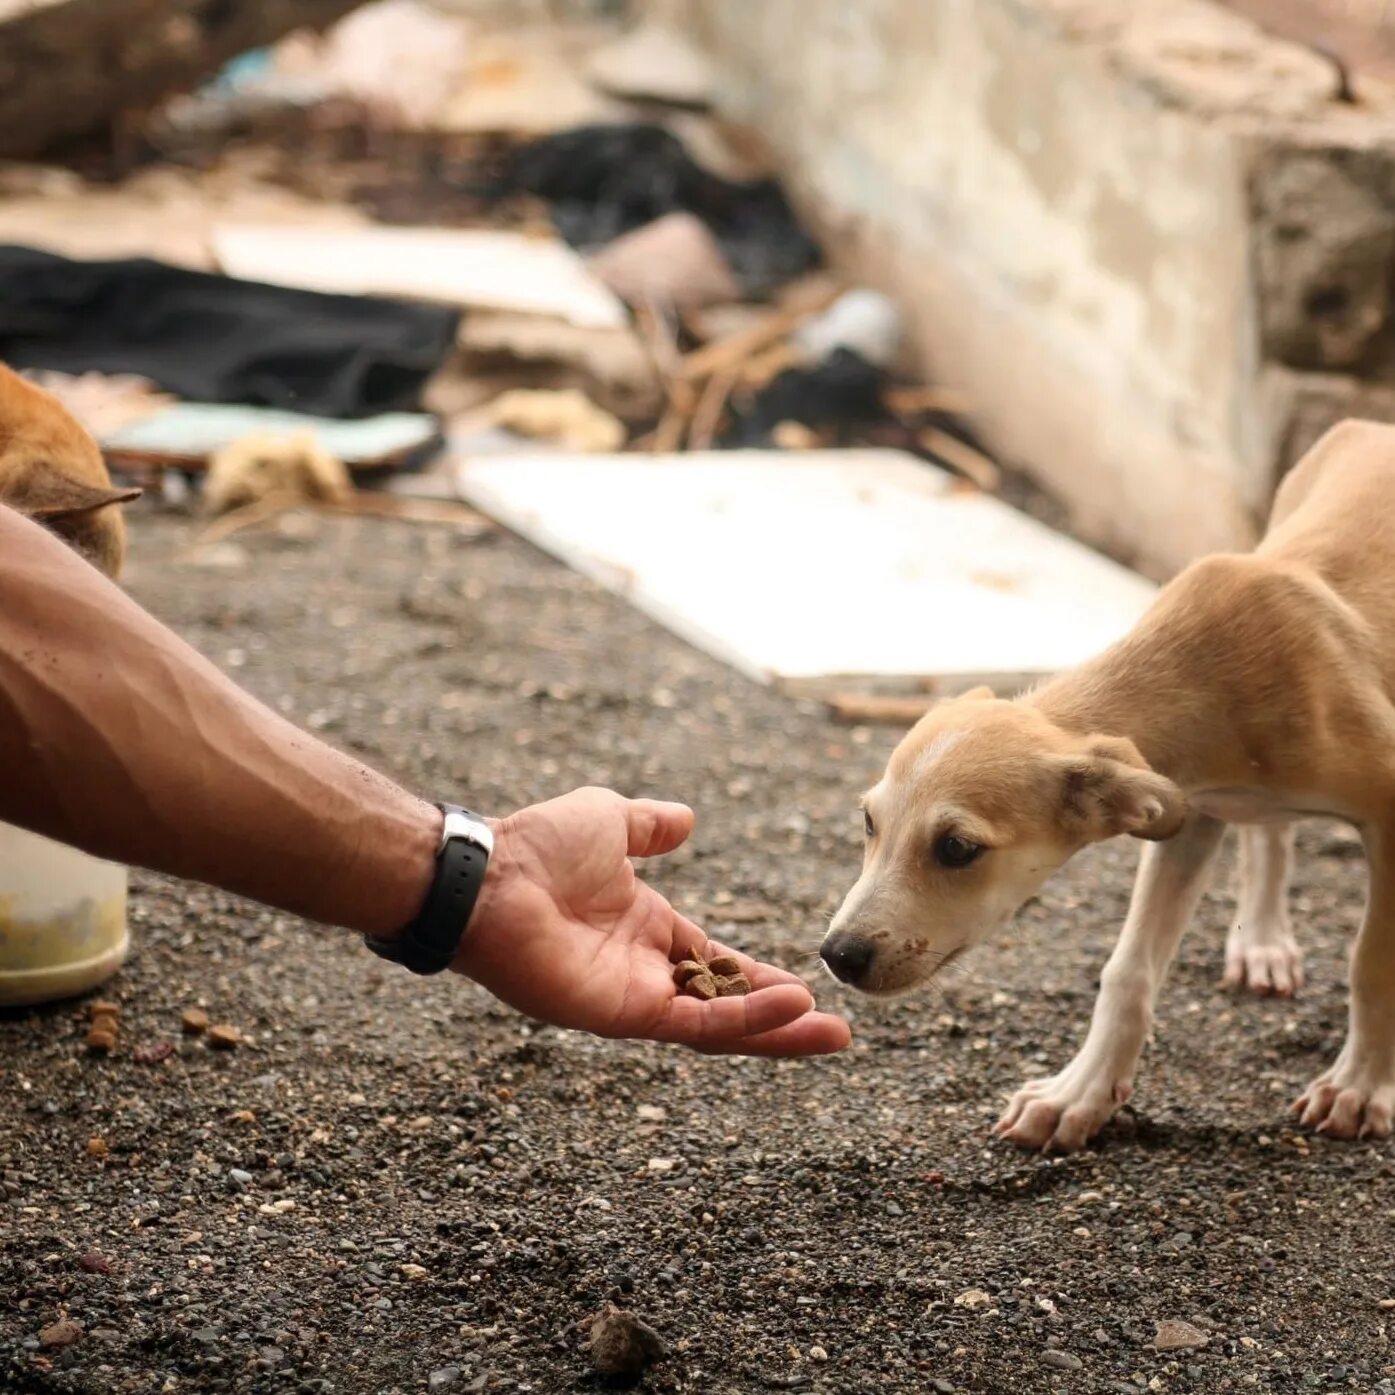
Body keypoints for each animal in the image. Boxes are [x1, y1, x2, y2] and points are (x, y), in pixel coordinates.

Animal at [820, 418, 1395, 1149]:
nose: (836, 955)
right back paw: (1262, 942)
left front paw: (1360, 1086)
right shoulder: (1188, 812)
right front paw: (1079, 1094)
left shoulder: (1388, 811)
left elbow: (1371, 962)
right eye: (869, 822)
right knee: (1269, 836)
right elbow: (1126, 973)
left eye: (956, 848)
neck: (1209, 674)